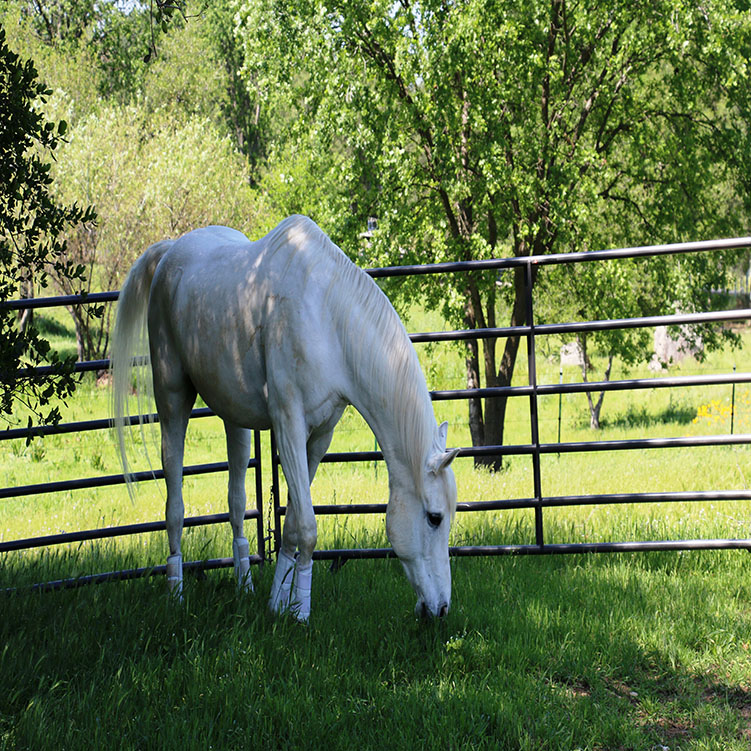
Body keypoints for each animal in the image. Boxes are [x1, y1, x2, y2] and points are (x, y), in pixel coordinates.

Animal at [110, 214, 458, 620]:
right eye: (434, 517)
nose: (441, 609)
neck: (327, 317)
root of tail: (170, 252)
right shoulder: (289, 425)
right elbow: (305, 526)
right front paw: (300, 612)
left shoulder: (320, 435)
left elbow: (292, 522)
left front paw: (278, 603)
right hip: (172, 399)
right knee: (175, 503)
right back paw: (176, 591)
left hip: (235, 420)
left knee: (235, 503)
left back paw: (244, 584)